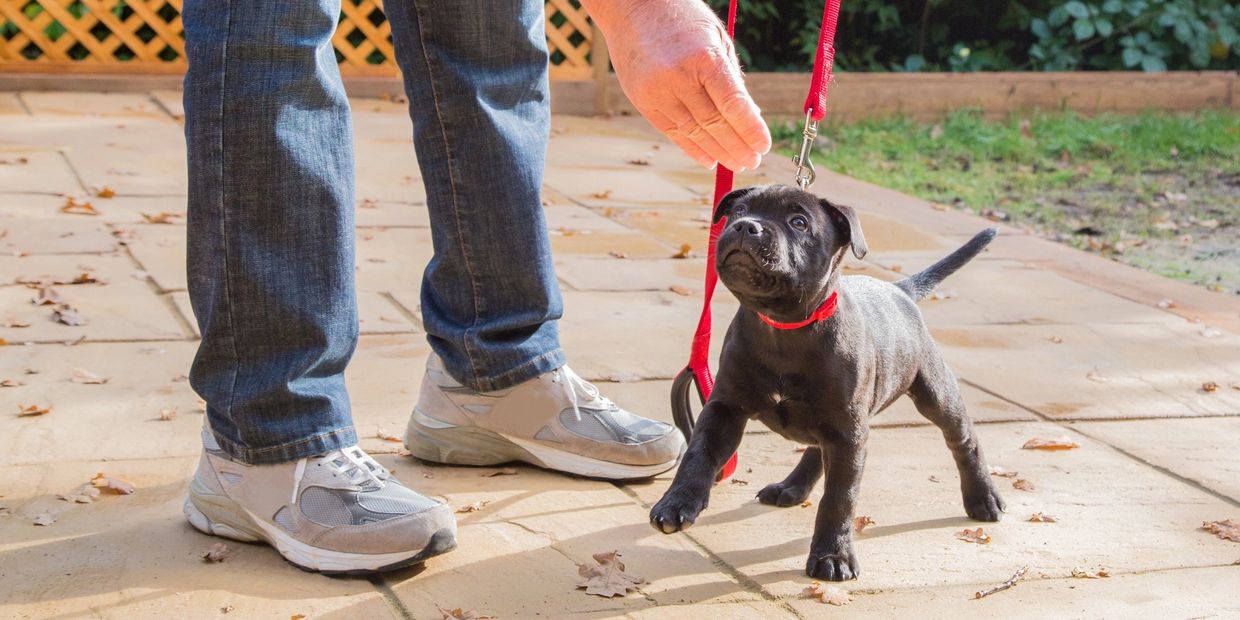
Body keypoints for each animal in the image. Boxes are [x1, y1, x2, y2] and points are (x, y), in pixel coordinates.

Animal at [649, 182, 1006, 580]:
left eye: (799, 222)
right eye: (739, 210)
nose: (745, 226)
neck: (784, 327)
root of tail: (900, 290)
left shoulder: (848, 433)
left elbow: (840, 497)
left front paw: (833, 555)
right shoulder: (725, 408)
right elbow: (698, 454)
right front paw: (677, 502)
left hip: (933, 393)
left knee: (963, 440)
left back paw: (983, 497)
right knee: (816, 448)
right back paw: (791, 486)